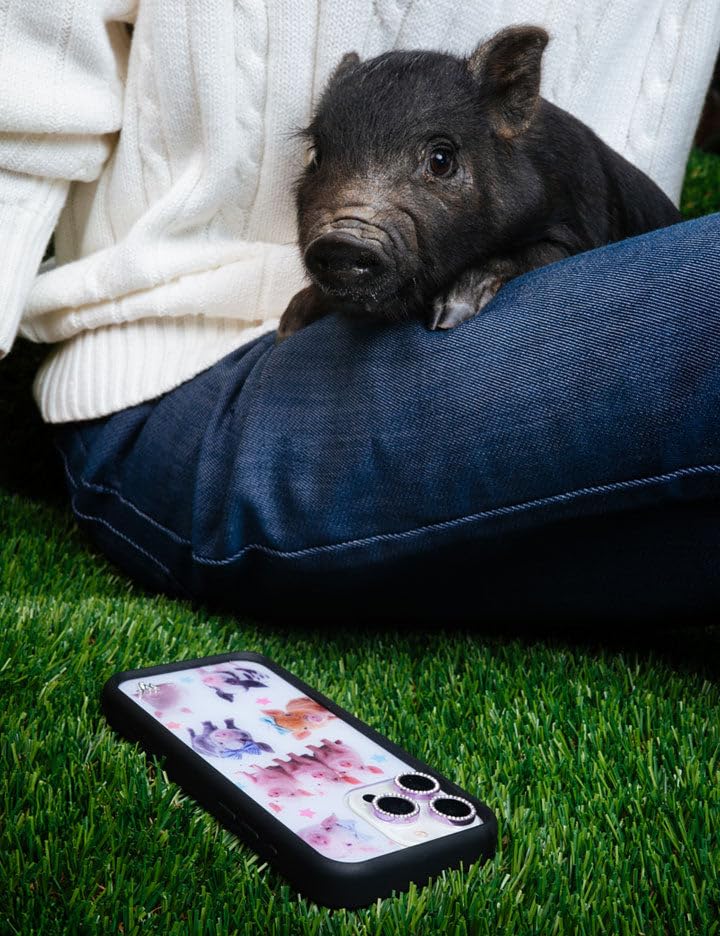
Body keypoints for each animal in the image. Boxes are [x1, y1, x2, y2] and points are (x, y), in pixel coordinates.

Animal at [277, 25, 680, 341]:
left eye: (441, 160)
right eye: (316, 157)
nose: (341, 240)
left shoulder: (580, 229)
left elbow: (536, 254)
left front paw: (448, 316)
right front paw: (287, 326)